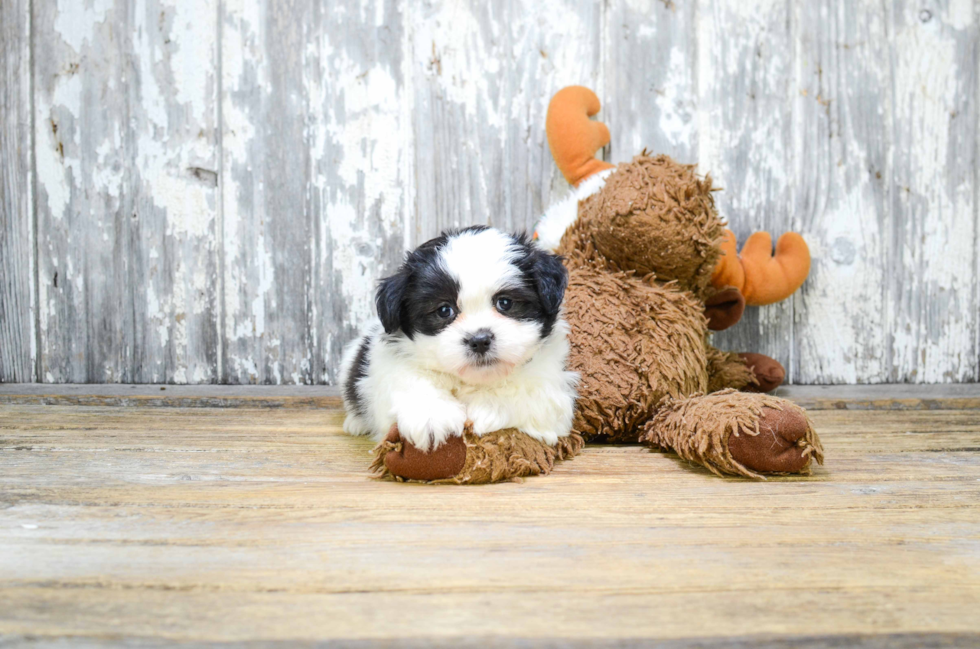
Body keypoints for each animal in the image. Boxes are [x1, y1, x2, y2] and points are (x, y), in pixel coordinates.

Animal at [340, 227, 580, 450]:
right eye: (444, 310)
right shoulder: (390, 362)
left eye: (505, 303)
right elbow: (410, 381)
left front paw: (486, 409)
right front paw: (431, 416)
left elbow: (527, 393)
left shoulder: (551, 385)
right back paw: (355, 422)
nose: (480, 340)